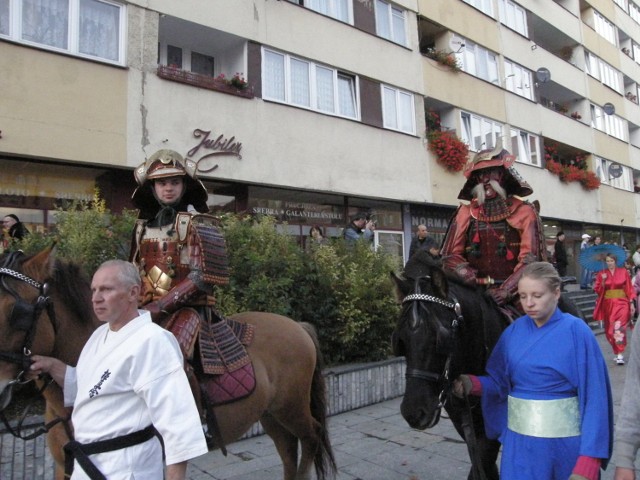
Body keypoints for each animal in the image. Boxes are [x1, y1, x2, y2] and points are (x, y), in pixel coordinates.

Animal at [0, 248, 338, 480]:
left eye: (17, 313)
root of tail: (297, 326)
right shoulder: (64, 467)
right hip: (270, 413)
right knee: (288, 449)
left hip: (291, 407)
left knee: (311, 435)